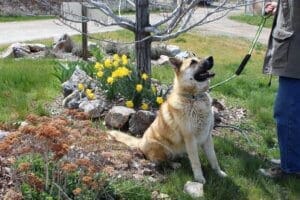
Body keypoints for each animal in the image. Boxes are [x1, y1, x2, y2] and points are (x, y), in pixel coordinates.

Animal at [109, 55, 226, 183]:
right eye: (193, 62)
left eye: (199, 57)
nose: (211, 58)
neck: (194, 97)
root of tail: (140, 142)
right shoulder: (190, 138)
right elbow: (196, 162)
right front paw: (199, 178)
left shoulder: (207, 137)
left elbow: (213, 158)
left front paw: (219, 173)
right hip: (163, 148)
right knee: (162, 161)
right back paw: (174, 164)